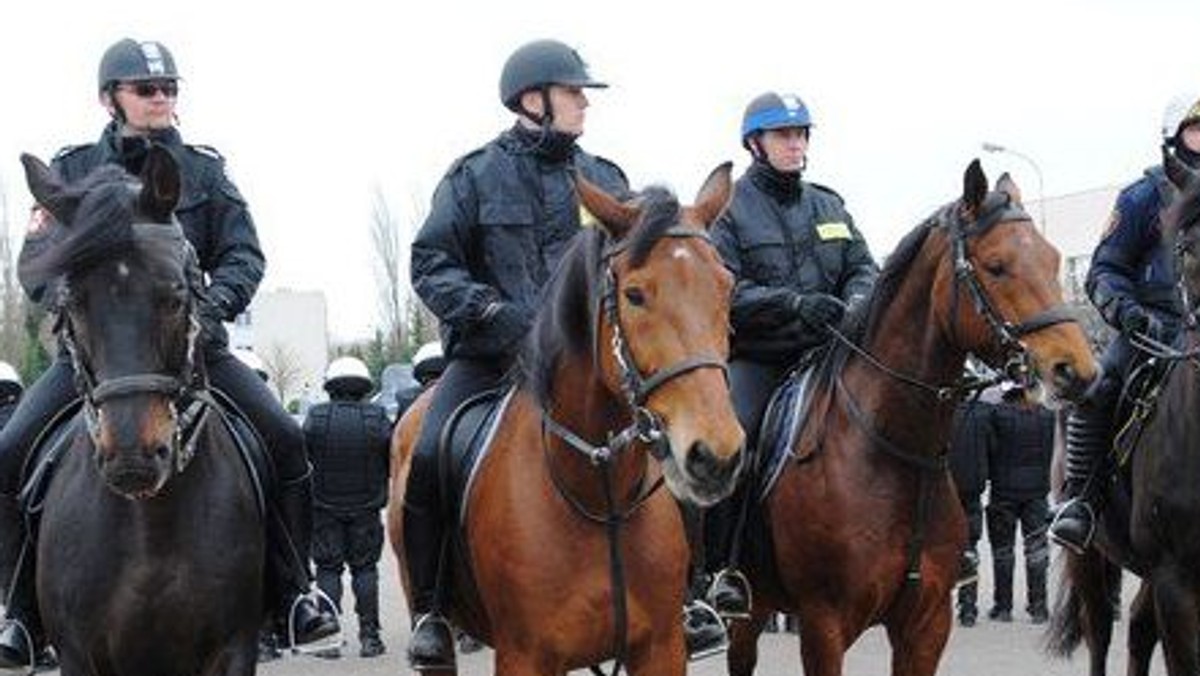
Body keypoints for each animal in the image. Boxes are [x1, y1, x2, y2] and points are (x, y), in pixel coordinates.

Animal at [17, 149, 265, 676]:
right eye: (74, 303)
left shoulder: (234, 647)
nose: (133, 455)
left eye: (175, 297)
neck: (150, 527)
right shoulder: (77, 653)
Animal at [388, 165, 744, 676]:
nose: (715, 455)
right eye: (634, 294)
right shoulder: (525, 657)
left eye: (726, 287)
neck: (598, 493)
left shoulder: (661, 649)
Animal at [724, 159, 1099, 676]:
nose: (1077, 371)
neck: (894, 452)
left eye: (1052, 259)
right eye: (997, 266)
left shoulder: (926, 624)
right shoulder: (824, 625)